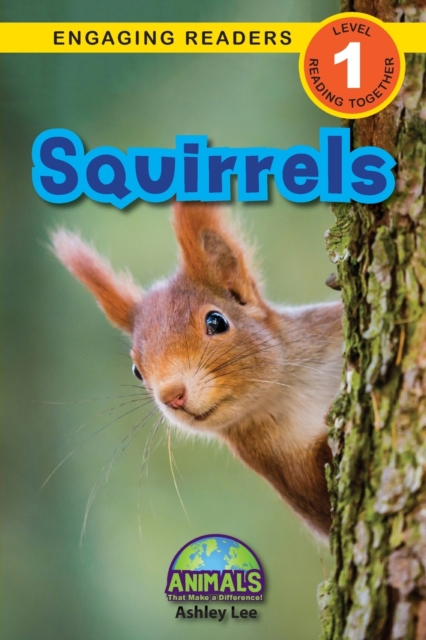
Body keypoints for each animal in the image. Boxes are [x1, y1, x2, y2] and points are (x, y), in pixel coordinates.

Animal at [51, 203, 343, 539]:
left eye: (216, 321)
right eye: (136, 370)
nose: (172, 396)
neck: (289, 391)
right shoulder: (286, 472)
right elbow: (324, 507)